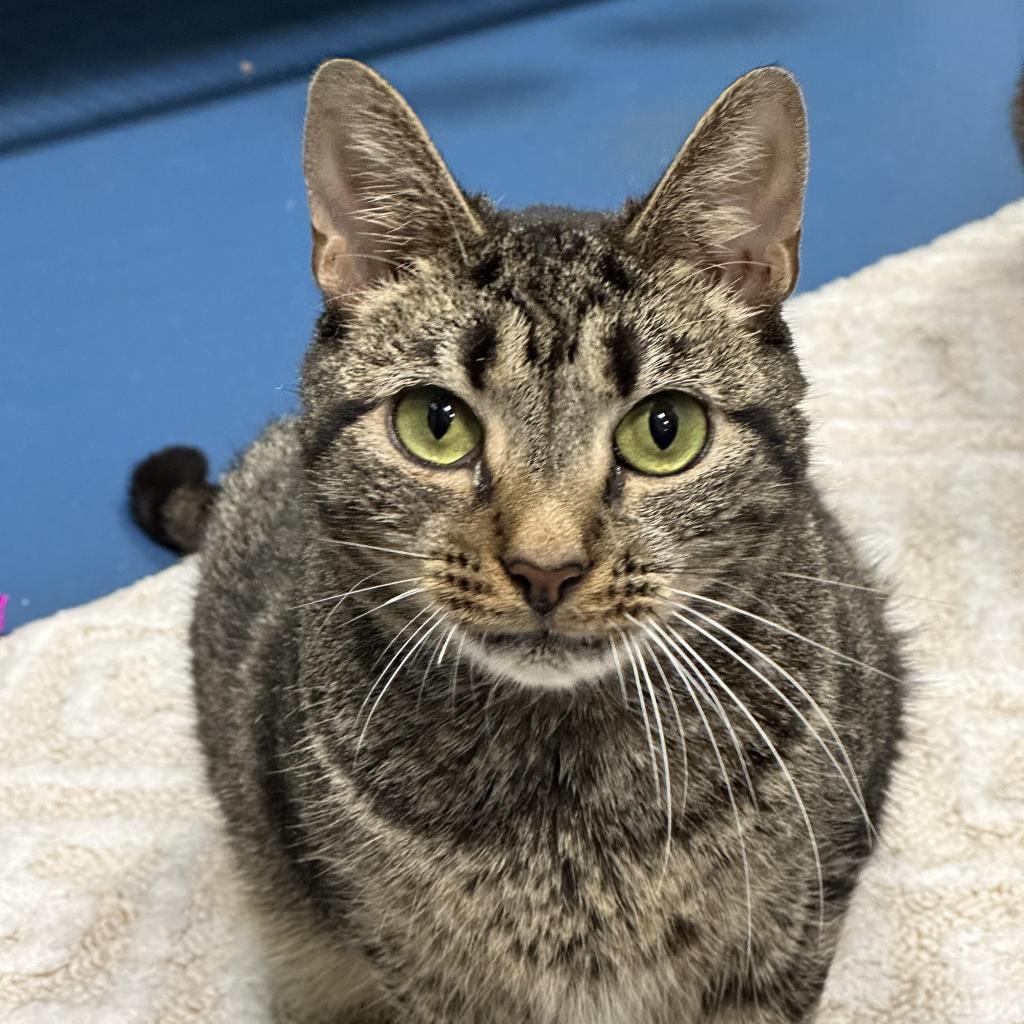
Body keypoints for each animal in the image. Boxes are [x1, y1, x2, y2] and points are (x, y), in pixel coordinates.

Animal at [130, 59, 905, 1019]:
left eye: (665, 431)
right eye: (436, 423)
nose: (546, 567)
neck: (566, 817)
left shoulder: (793, 933)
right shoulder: (422, 973)